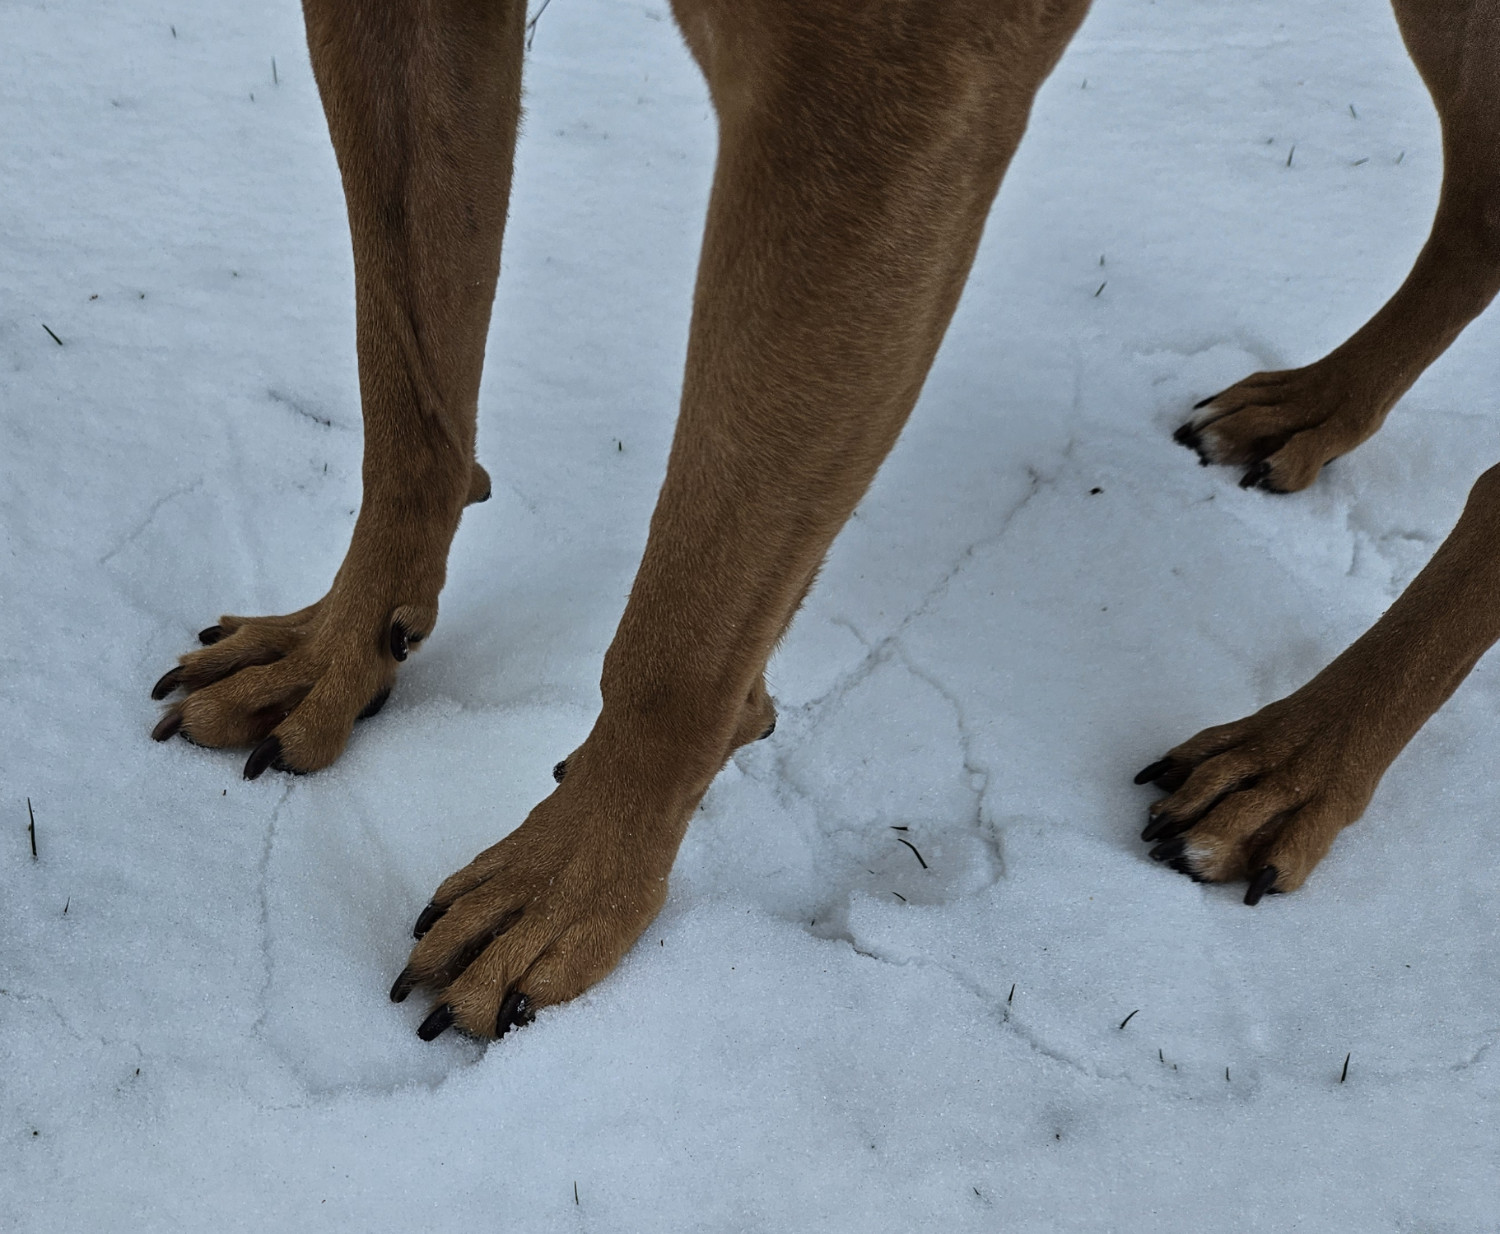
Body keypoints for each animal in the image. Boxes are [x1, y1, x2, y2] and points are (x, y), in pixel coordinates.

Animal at [146, 0, 1500, 1043]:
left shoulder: (878, 114)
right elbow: (410, 377)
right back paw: (1318, 405)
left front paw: (572, 884)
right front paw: (340, 648)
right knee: (1479, 213)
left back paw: (1298, 757)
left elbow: (694, 608)